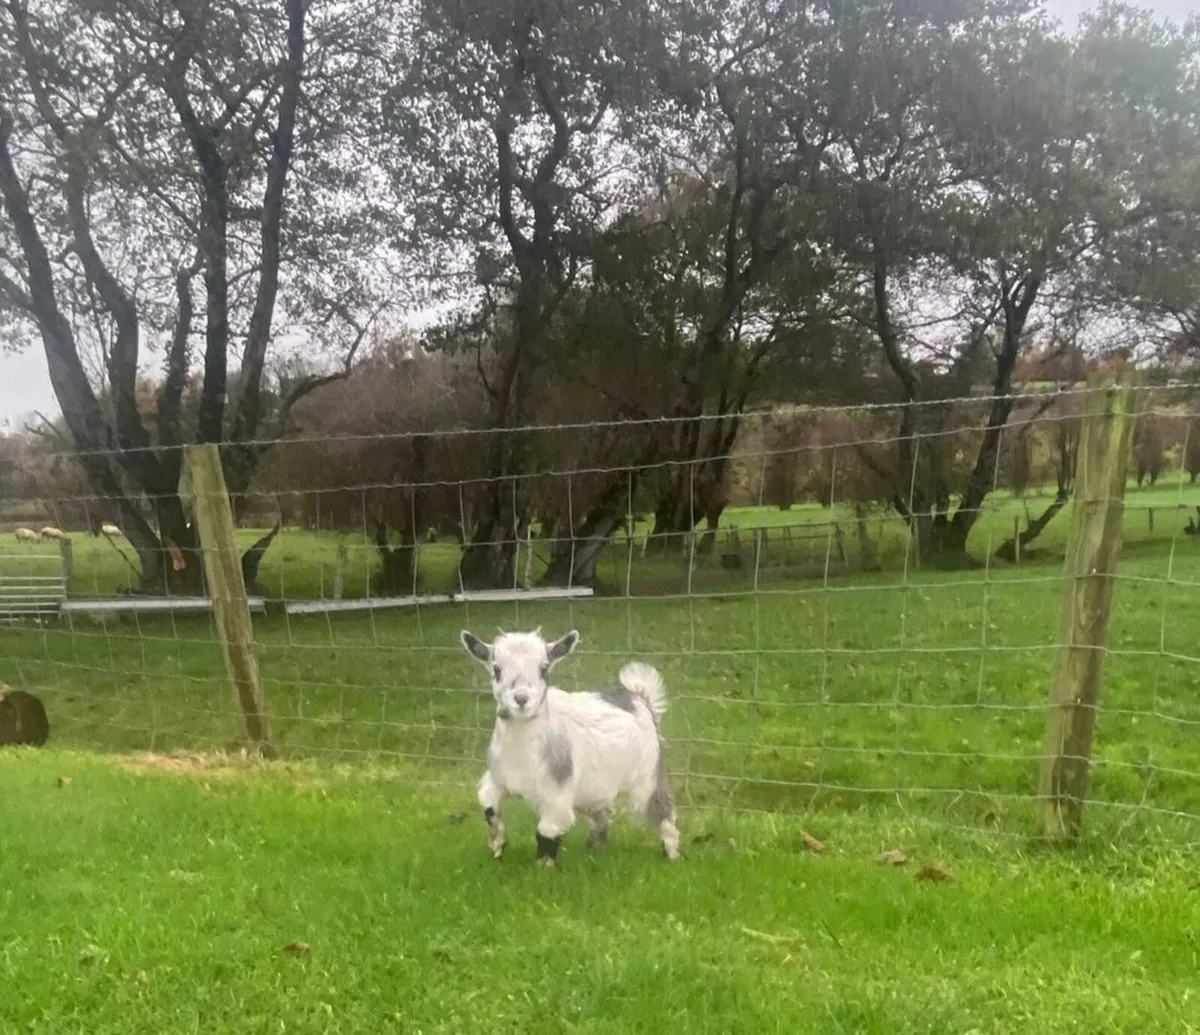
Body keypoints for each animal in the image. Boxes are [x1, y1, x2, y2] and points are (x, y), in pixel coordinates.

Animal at [460, 627, 681, 868]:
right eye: (496, 668)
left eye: (544, 668)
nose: (521, 699)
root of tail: (639, 697)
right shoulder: (497, 778)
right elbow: (488, 805)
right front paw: (497, 845)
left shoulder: (556, 794)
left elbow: (546, 834)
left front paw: (543, 868)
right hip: (596, 785)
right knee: (603, 813)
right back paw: (594, 850)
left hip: (647, 775)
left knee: (662, 811)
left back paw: (672, 854)